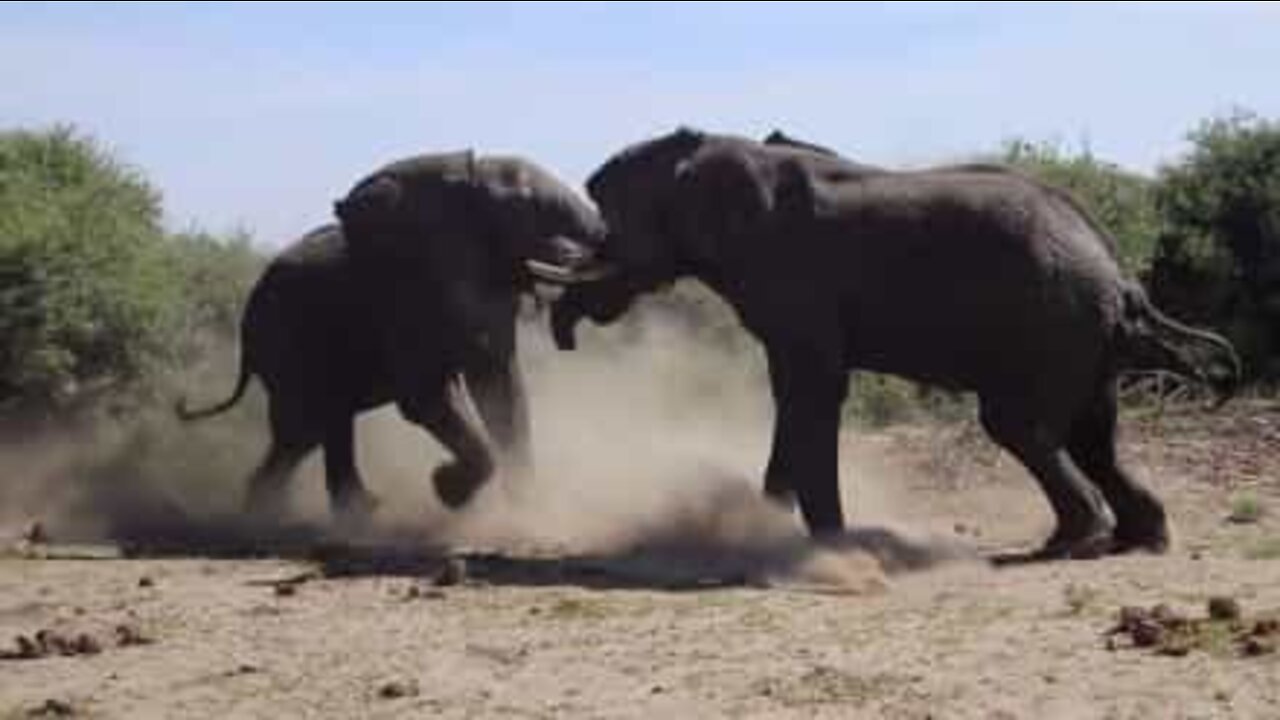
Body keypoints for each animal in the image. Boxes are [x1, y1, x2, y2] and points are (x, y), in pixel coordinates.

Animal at [176, 151, 609, 517]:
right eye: (535, 212)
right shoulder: (406, 292)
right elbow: (427, 395)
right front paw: (448, 491)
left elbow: (501, 388)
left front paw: (527, 515)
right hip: (283, 339)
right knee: (306, 426)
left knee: (311, 430)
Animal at [545, 127, 1244, 556]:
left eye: (611, 221)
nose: (566, 337)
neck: (709, 150)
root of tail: (1123, 278)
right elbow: (793, 394)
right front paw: (768, 528)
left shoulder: (795, 282)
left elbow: (814, 389)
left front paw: (823, 541)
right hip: (1081, 338)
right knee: (1094, 436)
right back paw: (1135, 540)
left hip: (1052, 324)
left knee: (1019, 425)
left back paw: (1075, 542)